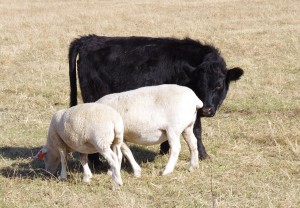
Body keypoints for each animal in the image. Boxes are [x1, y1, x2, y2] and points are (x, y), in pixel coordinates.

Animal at [68, 34, 244, 164]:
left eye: (219, 85)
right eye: (200, 84)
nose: (206, 110)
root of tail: (89, 39)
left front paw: (165, 150)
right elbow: (196, 130)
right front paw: (202, 154)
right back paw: (96, 162)